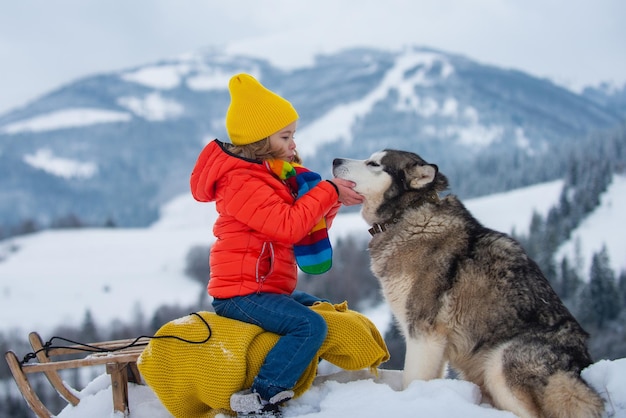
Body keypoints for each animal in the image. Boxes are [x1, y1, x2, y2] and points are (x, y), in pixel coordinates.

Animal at [334, 150, 604, 418]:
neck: (406, 214)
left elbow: (412, 380)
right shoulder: (434, 343)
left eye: (374, 164)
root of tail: (580, 370)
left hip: (499, 361)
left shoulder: (423, 331)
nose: (335, 160)